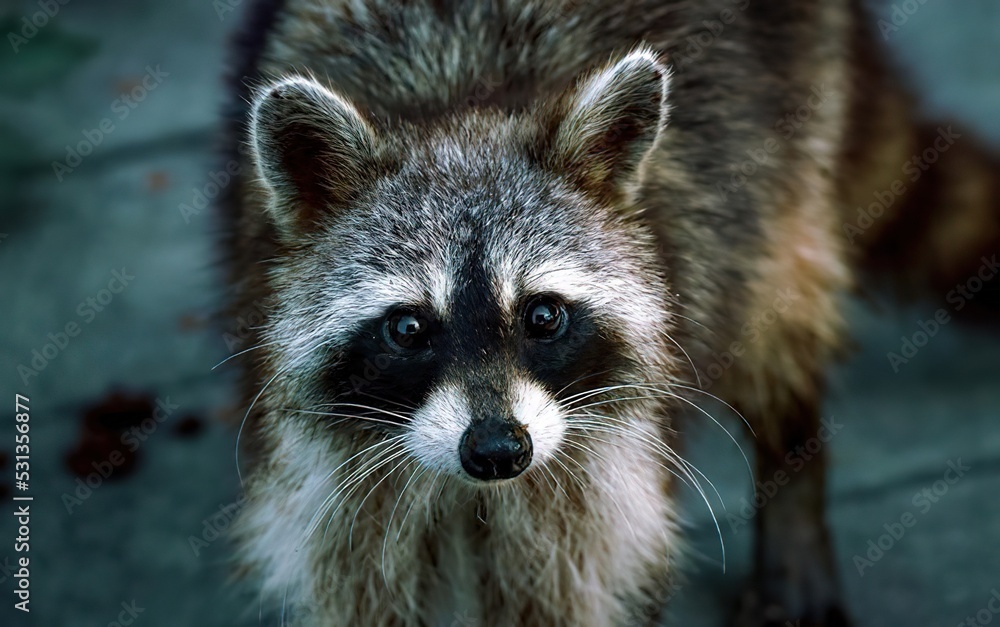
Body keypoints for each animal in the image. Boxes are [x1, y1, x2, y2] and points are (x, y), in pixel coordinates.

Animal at [221, 1, 1000, 627]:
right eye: (408, 328)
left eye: (542, 316)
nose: (498, 451)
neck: (458, 105)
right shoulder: (335, 474)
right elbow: (362, 575)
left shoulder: (597, 464)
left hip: (789, 130)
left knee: (778, 311)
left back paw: (792, 460)